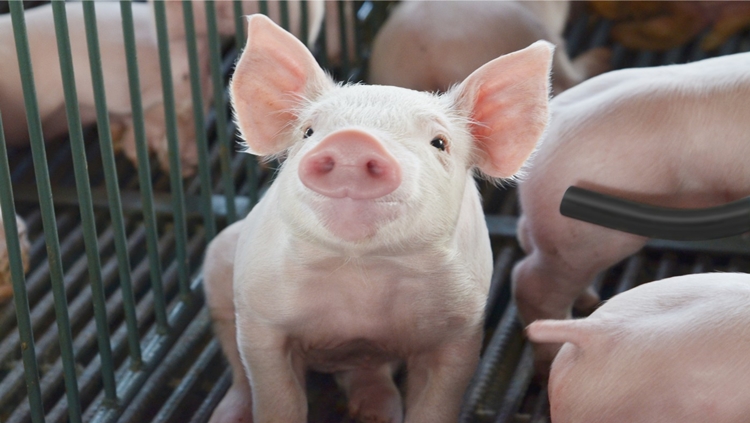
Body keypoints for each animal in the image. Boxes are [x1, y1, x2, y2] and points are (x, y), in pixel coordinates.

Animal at [203, 13, 556, 423]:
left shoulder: (460, 330)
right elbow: (277, 397)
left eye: (440, 142)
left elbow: (436, 403)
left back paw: (375, 412)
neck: (364, 278)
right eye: (308, 130)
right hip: (220, 262)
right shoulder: (259, 317)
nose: (353, 140)